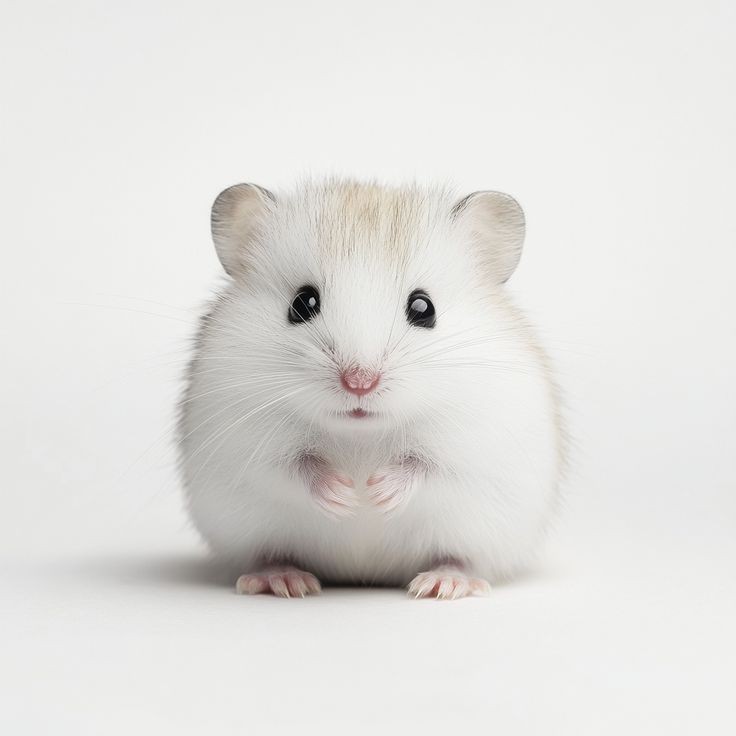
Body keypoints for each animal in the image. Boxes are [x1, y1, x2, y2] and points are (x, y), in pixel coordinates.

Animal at [178, 179, 566, 599]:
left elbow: (428, 466)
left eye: (424, 307)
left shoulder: (471, 441)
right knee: (269, 553)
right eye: (302, 303)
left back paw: (443, 583)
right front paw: (347, 497)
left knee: (460, 558)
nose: (359, 383)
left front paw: (376, 494)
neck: (360, 433)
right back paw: (282, 579)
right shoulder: (246, 440)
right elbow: (294, 466)